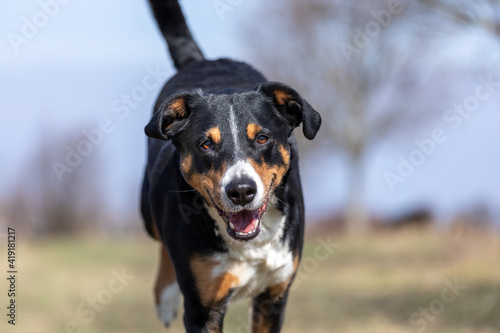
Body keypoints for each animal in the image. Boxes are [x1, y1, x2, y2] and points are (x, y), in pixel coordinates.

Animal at [141, 1, 320, 330]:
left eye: (262, 138)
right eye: (206, 145)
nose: (241, 191)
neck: (251, 245)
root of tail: (204, 61)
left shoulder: (273, 297)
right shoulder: (203, 307)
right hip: (147, 211)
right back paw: (166, 298)